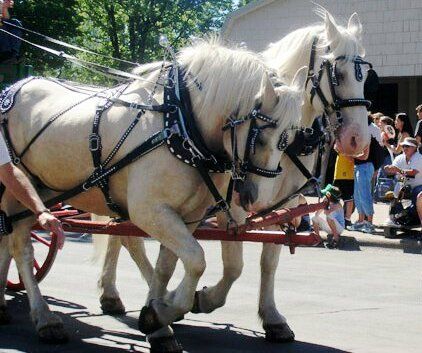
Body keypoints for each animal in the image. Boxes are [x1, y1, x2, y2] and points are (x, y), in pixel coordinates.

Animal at [0, 37, 310, 346]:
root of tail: (15, 86)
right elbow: (197, 260)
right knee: (21, 248)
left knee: (11, 238)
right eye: (260, 137)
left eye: (289, 140)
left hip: (41, 191)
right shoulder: (149, 211)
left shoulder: (186, 216)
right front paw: (166, 312)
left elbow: (169, 266)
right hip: (19, 186)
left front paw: (157, 318)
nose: (256, 200)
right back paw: (45, 318)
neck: (179, 123)